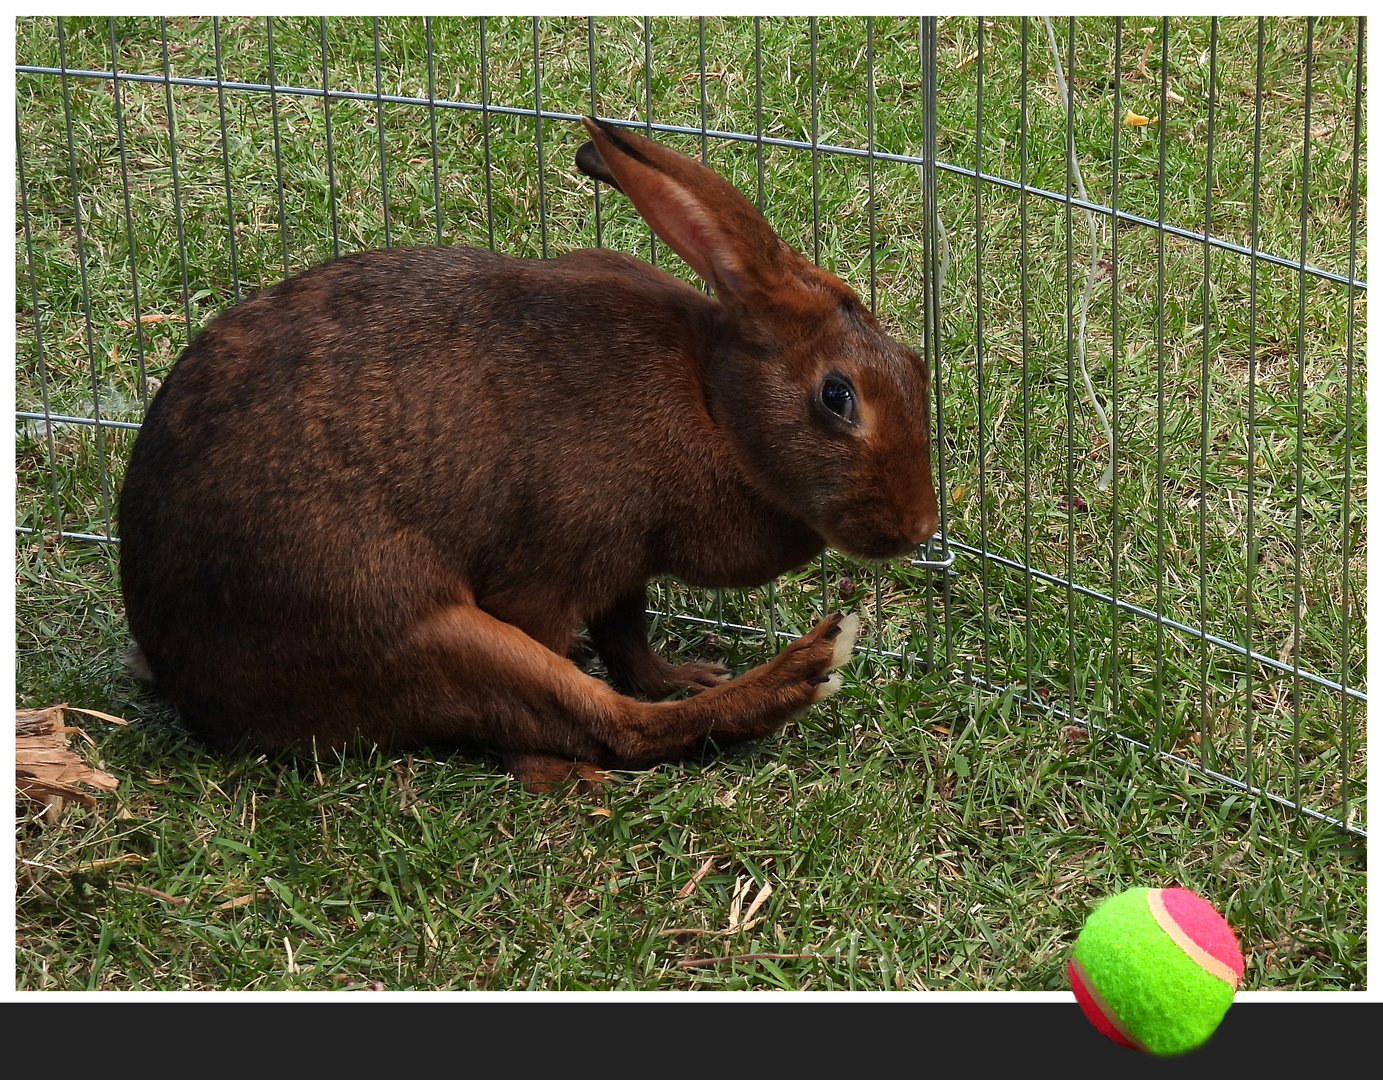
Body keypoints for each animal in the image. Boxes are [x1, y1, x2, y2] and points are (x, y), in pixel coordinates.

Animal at [118, 118, 940, 785]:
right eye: (837, 396)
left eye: (915, 365)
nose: (917, 529)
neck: (714, 407)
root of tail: (192, 685)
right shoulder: (548, 574)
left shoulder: (621, 567)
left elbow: (629, 640)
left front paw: (680, 672)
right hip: (424, 632)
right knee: (607, 730)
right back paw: (801, 671)